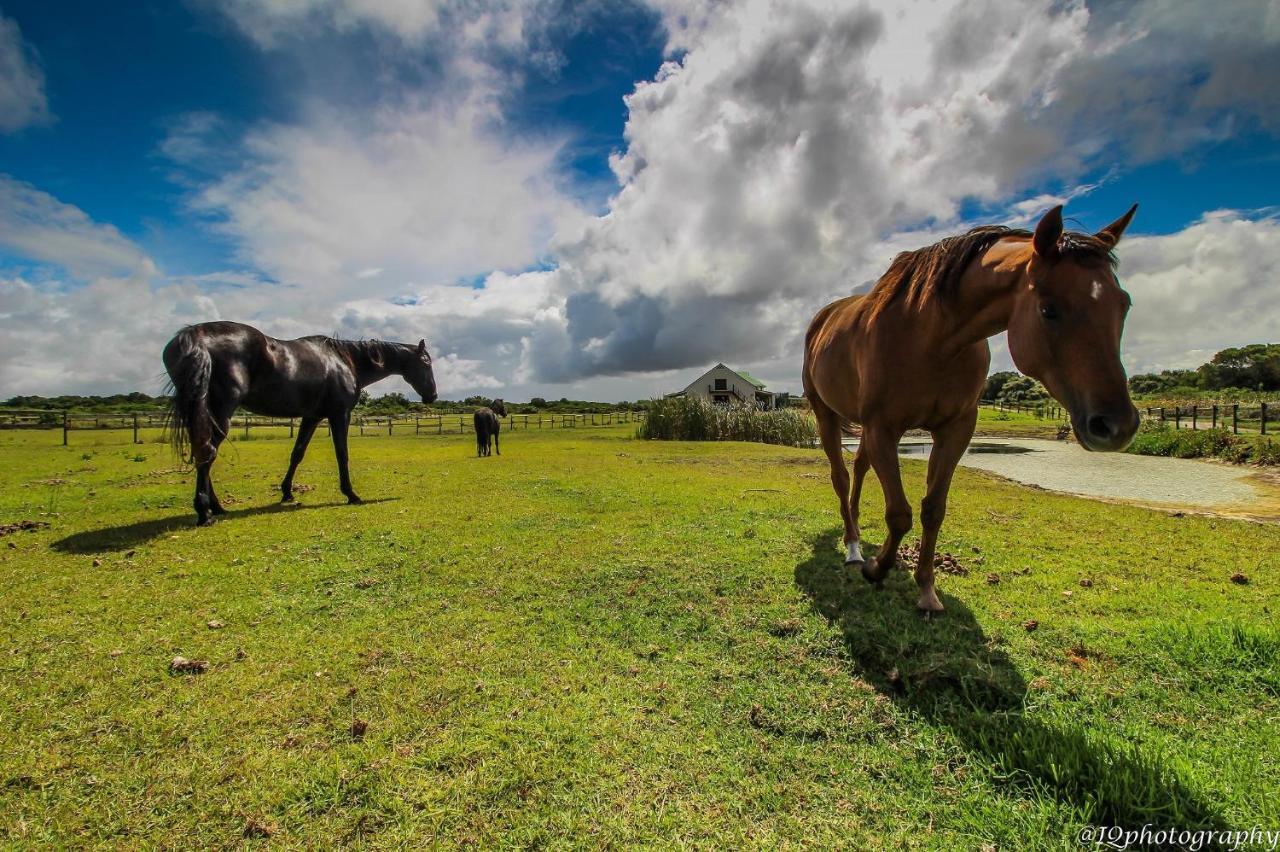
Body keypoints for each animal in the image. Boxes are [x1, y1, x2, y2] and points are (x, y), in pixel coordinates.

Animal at [162, 319, 435, 524]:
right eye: (426, 362)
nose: (432, 395)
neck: (344, 360)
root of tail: (194, 337)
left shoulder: (311, 417)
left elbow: (297, 453)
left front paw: (286, 492)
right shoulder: (339, 414)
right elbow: (342, 454)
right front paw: (351, 493)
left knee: (202, 451)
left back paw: (216, 507)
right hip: (221, 412)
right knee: (206, 452)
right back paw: (205, 512)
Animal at [803, 202, 1146, 614]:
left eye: (1124, 304)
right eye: (1048, 310)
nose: (1117, 425)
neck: (931, 336)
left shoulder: (956, 428)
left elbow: (933, 509)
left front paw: (926, 589)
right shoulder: (884, 427)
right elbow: (899, 514)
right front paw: (877, 568)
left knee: (858, 468)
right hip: (827, 415)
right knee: (840, 477)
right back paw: (854, 548)